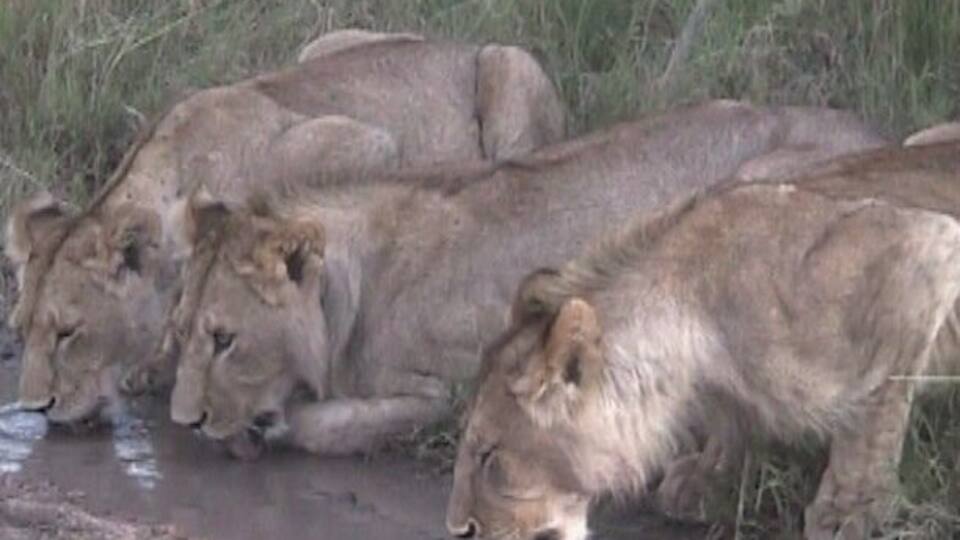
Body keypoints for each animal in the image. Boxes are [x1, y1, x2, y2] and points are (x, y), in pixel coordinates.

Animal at [4, 28, 568, 424]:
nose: (36, 408)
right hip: (321, 44)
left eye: (68, 333)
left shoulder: (368, 143)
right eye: (21, 329)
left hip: (511, 71)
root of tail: (464, 40)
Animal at [159, 99, 889, 460]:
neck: (352, 297)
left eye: (225, 339)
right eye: (182, 332)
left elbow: (330, 427)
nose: (183, 423)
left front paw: (275, 424)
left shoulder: (451, 389)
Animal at [446, 141, 960, 540]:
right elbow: (734, 418)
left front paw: (851, 510)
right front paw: (710, 477)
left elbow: (874, 419)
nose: (458, 529)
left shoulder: (921, 249)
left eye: (489, 456)